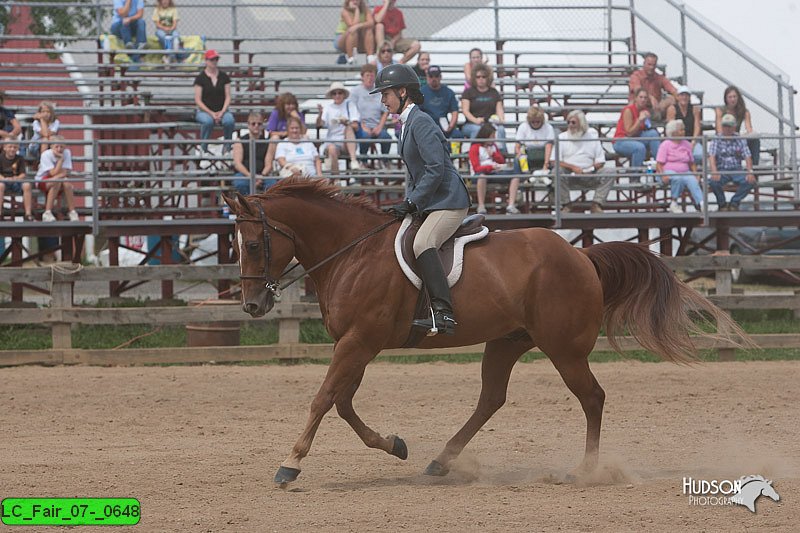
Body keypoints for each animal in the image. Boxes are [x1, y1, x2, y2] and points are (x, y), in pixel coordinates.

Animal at [223, 177, 744, 484]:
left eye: (254, 244)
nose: (252, 305)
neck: (352, 252)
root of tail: (581, 255)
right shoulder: (357, 344)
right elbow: (344, 403)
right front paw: (394, 446)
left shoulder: (358, 342)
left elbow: (324, 399)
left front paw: (289, 464)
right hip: (507, 341)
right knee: (491, 399)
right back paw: (441, 460)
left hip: (563, 349)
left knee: (592, 397)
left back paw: (585, 470)